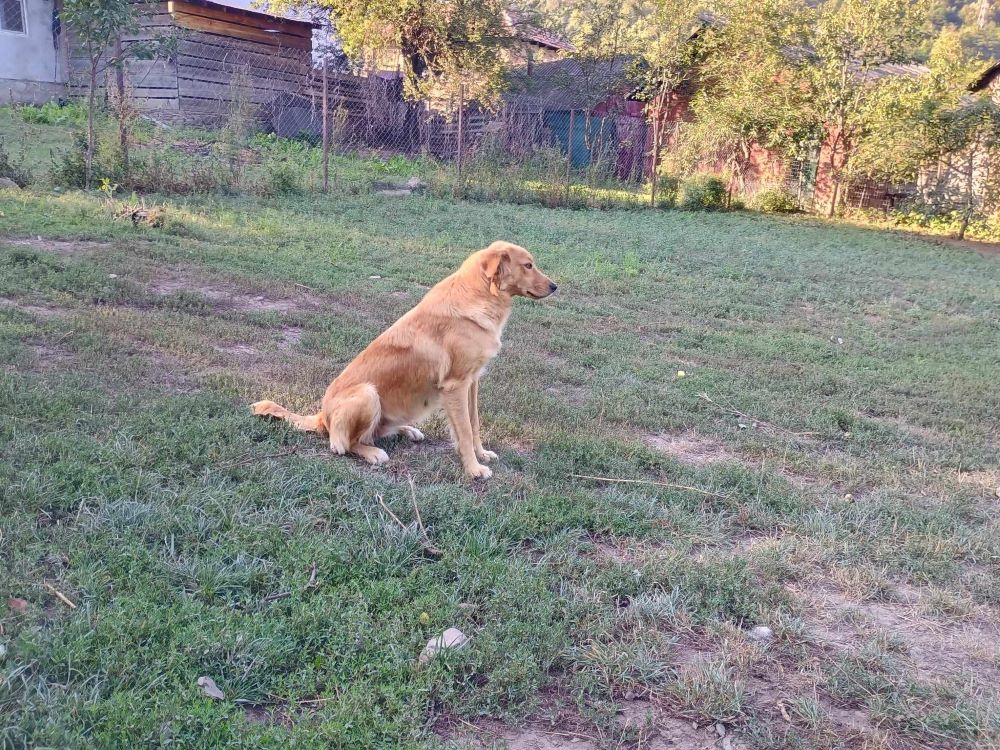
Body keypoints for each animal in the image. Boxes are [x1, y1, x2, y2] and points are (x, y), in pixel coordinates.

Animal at [252, 244, 556, 484]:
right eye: (528, 265)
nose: (556, 286)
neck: (481, 295)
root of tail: (320, 416)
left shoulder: (472, 382)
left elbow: (474, 424)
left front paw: (481, 455)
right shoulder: (455, 385)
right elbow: (465, 432)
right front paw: (473, 469)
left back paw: (408, 430)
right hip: (367, 394)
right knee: (345, 444)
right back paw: (373, 453)